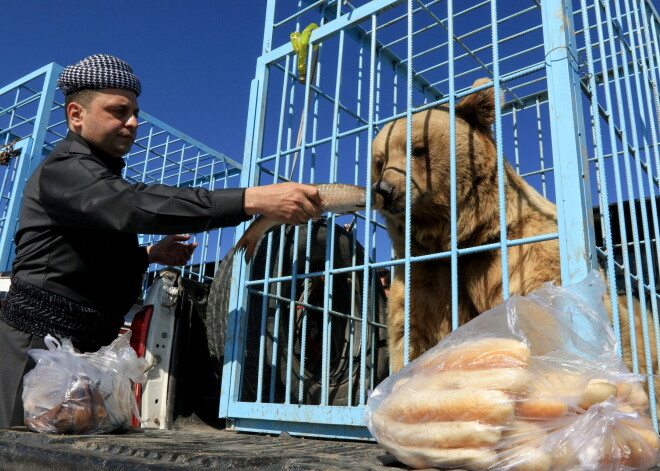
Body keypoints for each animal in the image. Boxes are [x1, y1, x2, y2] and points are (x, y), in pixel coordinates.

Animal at [372, 76, 656, 394]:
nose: (384, 189)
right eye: (379, 161)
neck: (462, 237)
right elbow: (416, 333)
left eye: (417, 149)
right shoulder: (427, 272)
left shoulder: (522, 252)